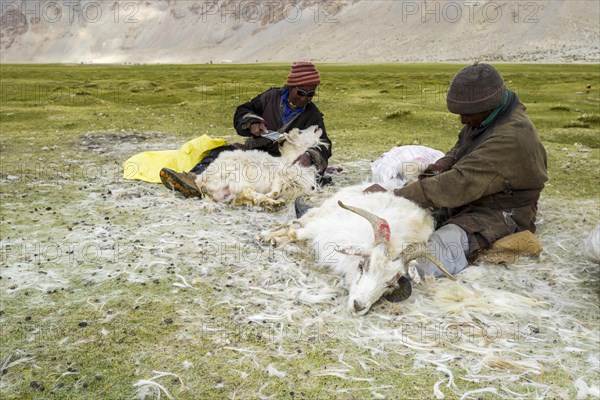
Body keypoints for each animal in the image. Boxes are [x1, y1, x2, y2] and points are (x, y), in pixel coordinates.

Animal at [195, 126, 326, 209]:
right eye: (300, 132)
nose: (316, 126)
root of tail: (202, 183)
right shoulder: (279, 175)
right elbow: (276, 190)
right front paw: (272, 195)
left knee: (247, 198)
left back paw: (273, 203)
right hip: (237, 179)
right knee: (252, 195)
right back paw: (274, 202)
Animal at [258, 184, 454, 316]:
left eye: (391, 284)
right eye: (363, 265)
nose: (358, 306)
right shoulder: (323, 228)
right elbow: (294, 233)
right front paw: (272, 237)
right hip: (324, 211)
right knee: (297, 221)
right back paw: (268, 235)